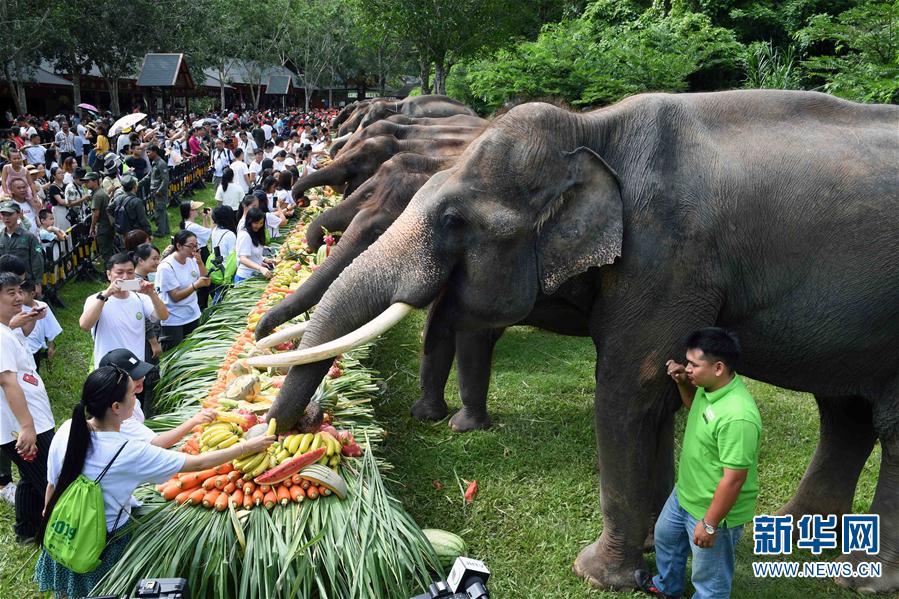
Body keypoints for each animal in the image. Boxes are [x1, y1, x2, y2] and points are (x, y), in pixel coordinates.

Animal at [251, 91, 899, 592]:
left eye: (454, 221)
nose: (302, 423)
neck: (593, 130)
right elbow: (657, 395)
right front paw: (652, 549)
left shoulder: (667, 258)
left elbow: (628, 388)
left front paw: (597, 573)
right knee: (844, 413)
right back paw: (792, 536)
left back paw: (860, 578)